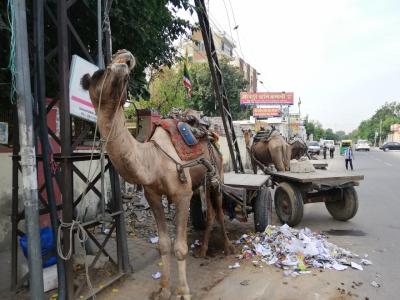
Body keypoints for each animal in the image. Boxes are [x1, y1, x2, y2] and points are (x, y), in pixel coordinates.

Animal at [80, 50, 234, 298]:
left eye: (123, 72)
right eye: (99, 73)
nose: (124, 57)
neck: (152, 161)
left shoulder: (181, 195)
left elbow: (180, 247)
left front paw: (183, 292)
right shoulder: (152, 195)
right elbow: (163, 244)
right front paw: (163, 289)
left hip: (217, 173)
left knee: (218, 210)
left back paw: (227, 248)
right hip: (201, 181)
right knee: (209, 212)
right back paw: (202, 251)